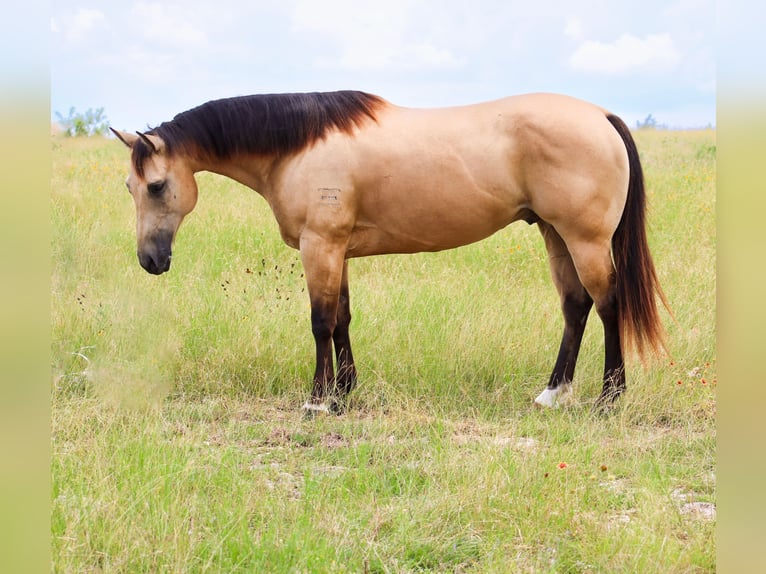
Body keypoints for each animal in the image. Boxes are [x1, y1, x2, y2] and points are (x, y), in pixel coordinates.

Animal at [111, 90, 668, 414]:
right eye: (130, 186)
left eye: (156, 186)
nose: (150, 261)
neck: (298, 147)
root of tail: (601, 115)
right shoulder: (336, 250)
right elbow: (341, 319)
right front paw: (344, 391)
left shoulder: (320, 246)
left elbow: (319, 322)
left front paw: (318, 402)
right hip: (555, 234)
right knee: (575, 307)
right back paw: (554, 393)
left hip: (584, 239)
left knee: (608, 304)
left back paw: (609, 398)